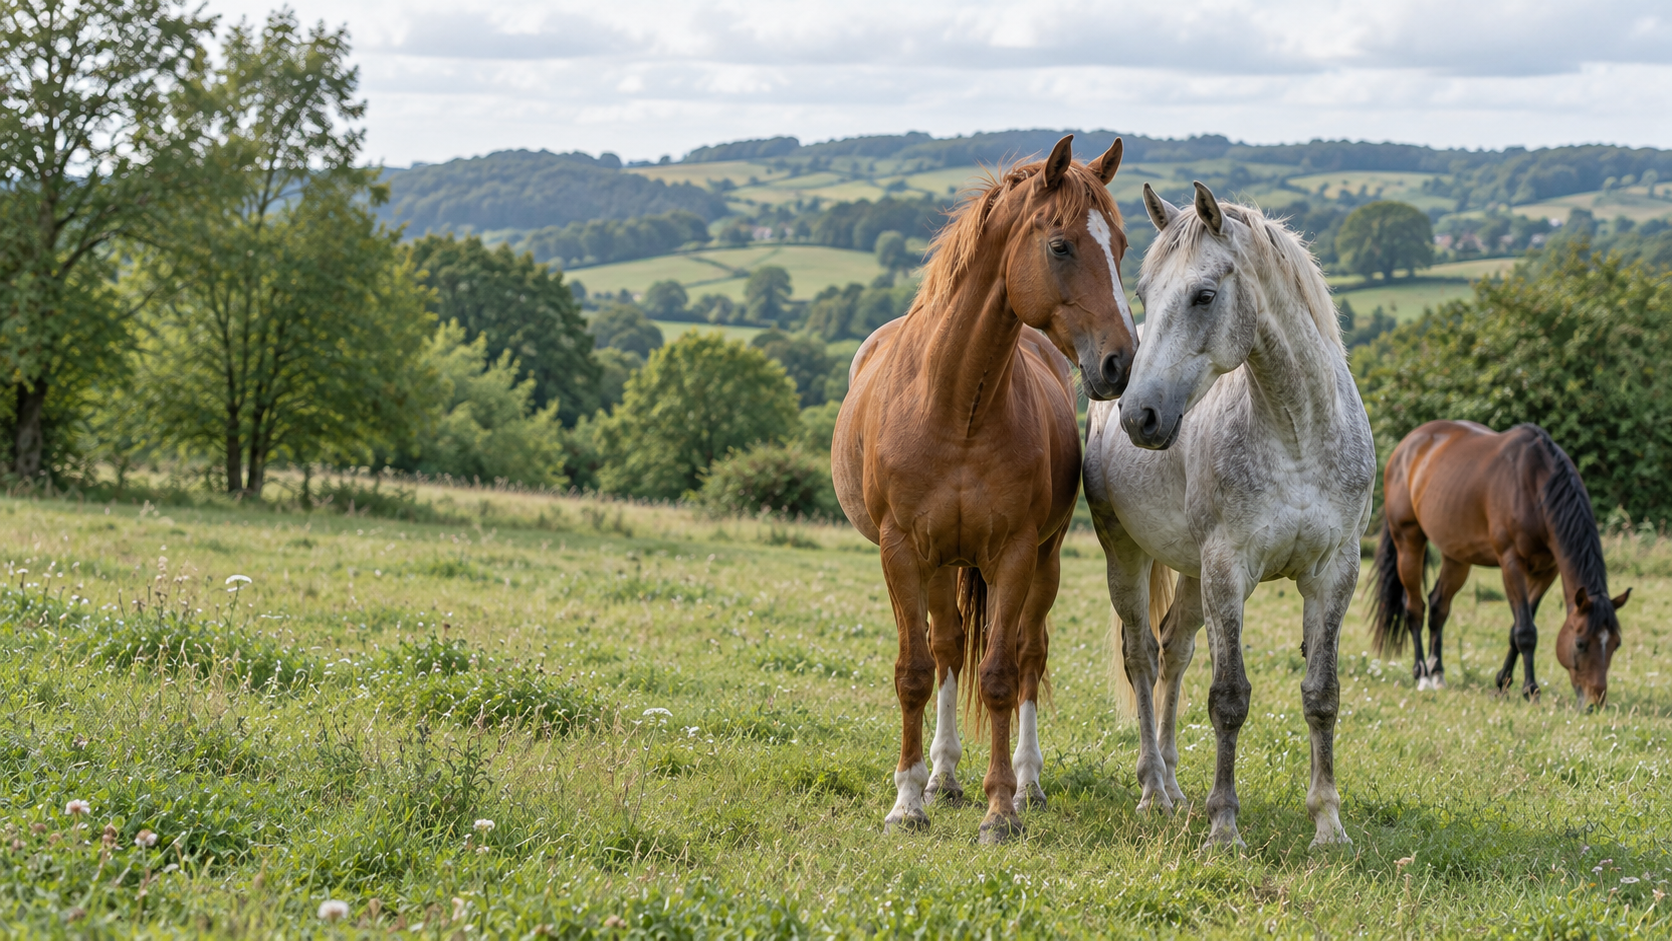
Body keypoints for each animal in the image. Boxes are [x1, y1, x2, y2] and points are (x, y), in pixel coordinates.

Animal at [832, 135, 1138, 843]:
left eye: (1121, 244)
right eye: (1061, 246)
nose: (1121, 363)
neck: (954, 405)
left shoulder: (1016, 554)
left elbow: (1000, 674)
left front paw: (1000, 810)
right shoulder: (902, 552)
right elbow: (915, 672)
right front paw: (907, 801)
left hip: (1041, 565)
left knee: (1028, 656)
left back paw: (1027, 784)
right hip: (942, 563)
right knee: (946, 650)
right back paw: (942, 778)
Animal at [1083, 182, 1375, 849]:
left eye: (1205, 295)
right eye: (1144, 294)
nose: (1139, 415)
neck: (1297, 435)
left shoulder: (1334, 573)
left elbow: (1322, 694)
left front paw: (1328, 824)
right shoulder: (1228, 570)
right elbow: (1229, 699)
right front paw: (1223, 826)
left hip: (1192, 575)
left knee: (1175, 651)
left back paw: (1172, 783)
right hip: (1128, 557)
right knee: (1142, 656)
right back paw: (1152, 789)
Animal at [1369, 421, 1631, 708]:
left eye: (1616, 644)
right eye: (1580, 643)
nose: (1595, 702)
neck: (1535, 486)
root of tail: (1406, 446)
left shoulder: (1546, 571)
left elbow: (1517, 629)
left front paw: (1502, 684)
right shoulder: (1511, 563)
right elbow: (1525, 631)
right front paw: (1530, 689)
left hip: (1456, 556)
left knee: (1438, 607)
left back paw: (1438, 673)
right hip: (1409, 541)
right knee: (1414, 608)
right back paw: (1423, 676)